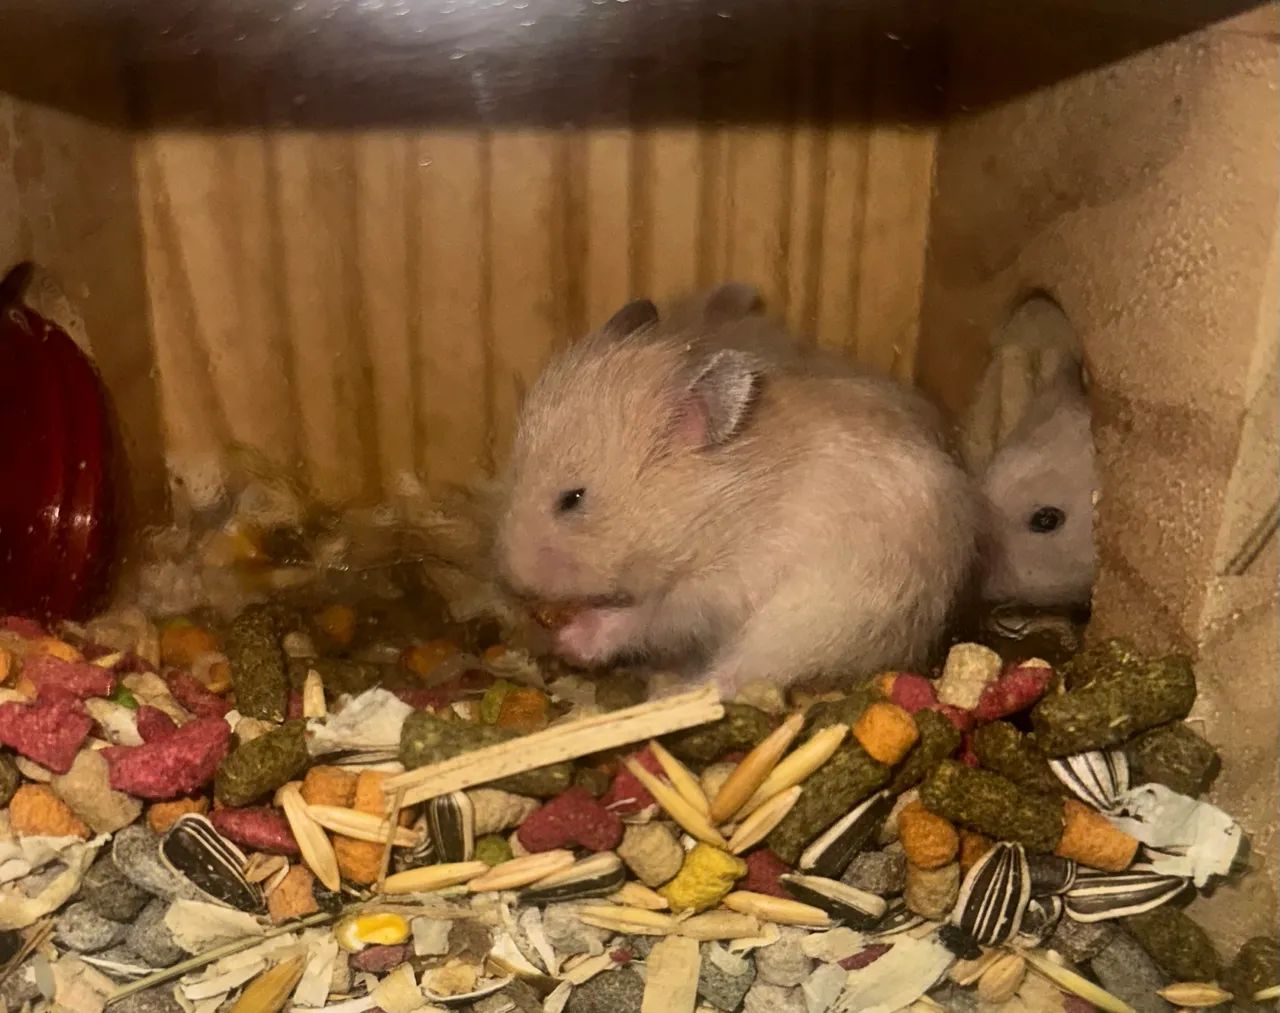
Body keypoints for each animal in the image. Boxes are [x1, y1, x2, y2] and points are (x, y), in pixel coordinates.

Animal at [495, 284, 980, 696]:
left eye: (572, 499)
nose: (513, 581)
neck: (718, 509)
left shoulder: (710, 593)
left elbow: (644, 618)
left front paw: (572, 639)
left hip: (807, 621)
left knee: (735, 676)